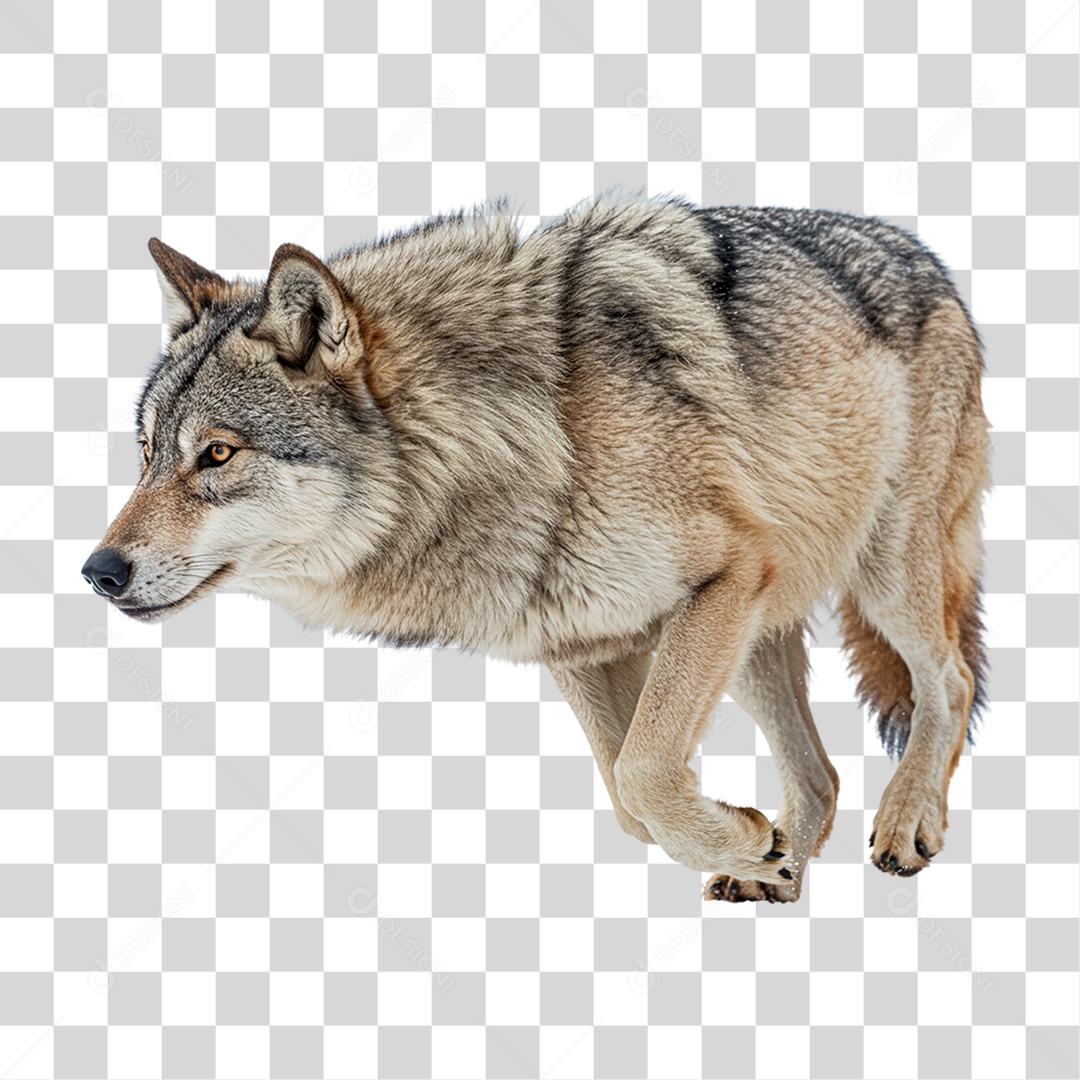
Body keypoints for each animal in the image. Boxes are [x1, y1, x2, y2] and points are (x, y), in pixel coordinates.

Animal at [82, 196, 990, 902]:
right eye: (147, 453)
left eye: (218, 454)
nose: (98, 572)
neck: (530, 430)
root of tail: (929, 258)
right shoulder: (581, 640)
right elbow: (628, 795)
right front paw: (745, 842)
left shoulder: (722, 580)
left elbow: (644, 772)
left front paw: (738, 836)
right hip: (759, 637)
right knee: (821, 775)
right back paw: (778, 871)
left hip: (879, 577)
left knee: (950, 680)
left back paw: (907, 823)